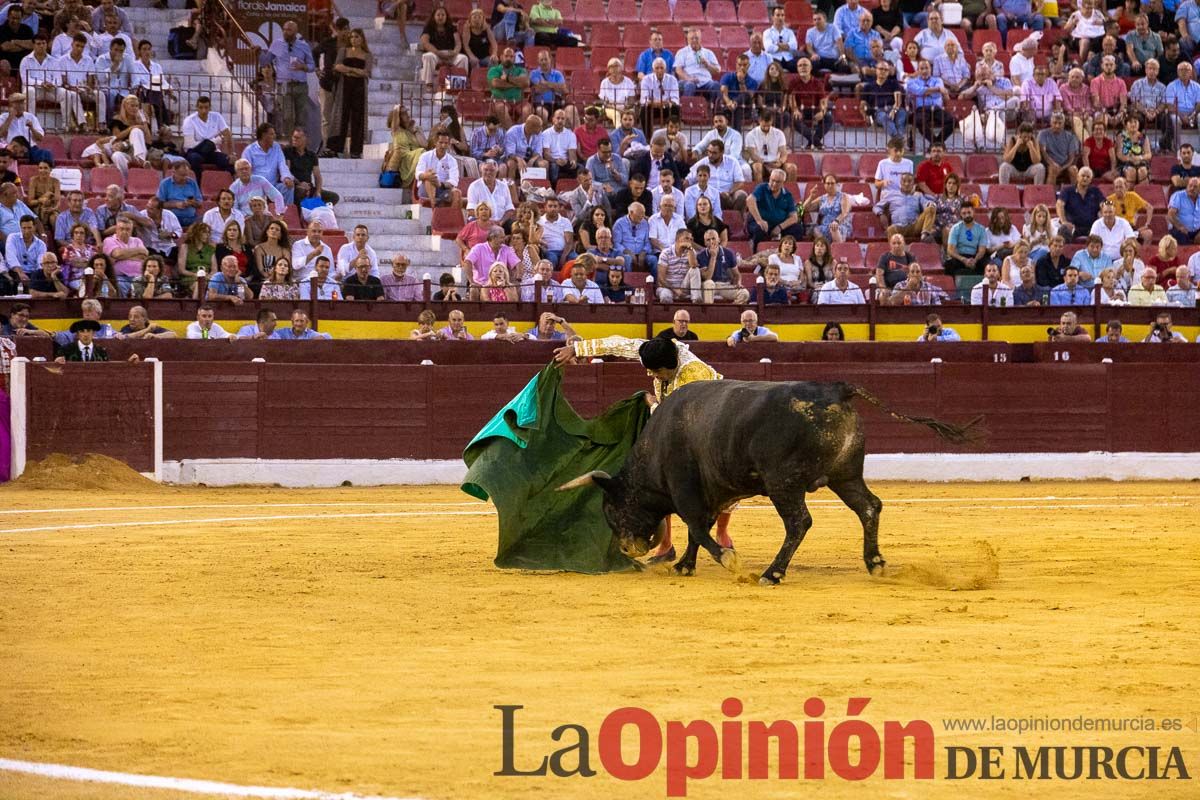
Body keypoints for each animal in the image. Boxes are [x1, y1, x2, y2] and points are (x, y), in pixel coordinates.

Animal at [556, 379, 979, 585]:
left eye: (612, 511)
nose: (628, 549)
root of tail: (836, 389)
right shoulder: (715, 490)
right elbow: (698, 529)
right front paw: (685, 567)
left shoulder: (686, 487)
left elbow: (697, 525)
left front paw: (728, 561)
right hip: (846, 475)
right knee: (869, 507)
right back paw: (874, 563)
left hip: (783, 483)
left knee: (799, 522)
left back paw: (772, 573)